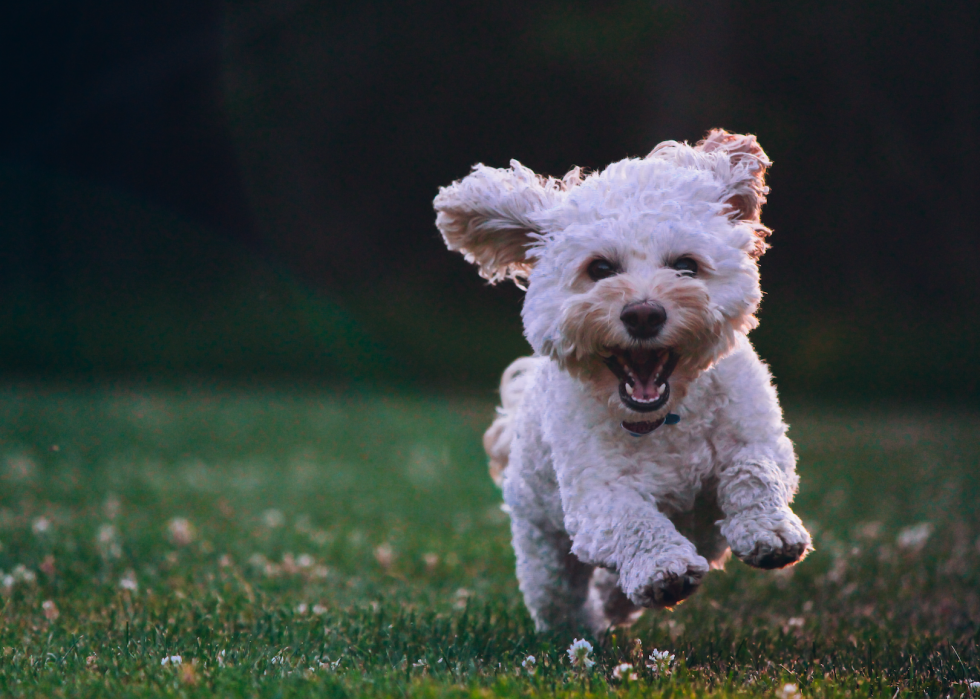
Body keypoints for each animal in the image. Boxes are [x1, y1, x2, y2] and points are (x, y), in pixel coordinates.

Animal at [434, 130, 812, 636]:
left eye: (686, 265)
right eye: (599, 269)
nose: (644, 314)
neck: (665, 419)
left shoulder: (758, 435)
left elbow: (754, 471)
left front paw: (769, 531)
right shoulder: (596, 495)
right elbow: (633, 520)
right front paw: (662, 569)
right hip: (542, 543)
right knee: (558, 594)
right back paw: (584, 627)